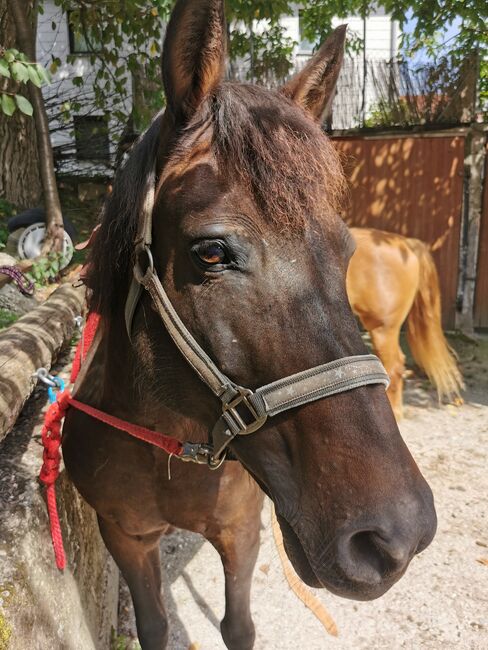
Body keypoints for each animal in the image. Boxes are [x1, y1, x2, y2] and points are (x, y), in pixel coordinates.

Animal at [62, 2, 438, 644]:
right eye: (211, 252)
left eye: (346, 252)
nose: (399, 533)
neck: (167, 445)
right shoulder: (125, 536)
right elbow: (154, 627)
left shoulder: (242, 533)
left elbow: (238, 628)